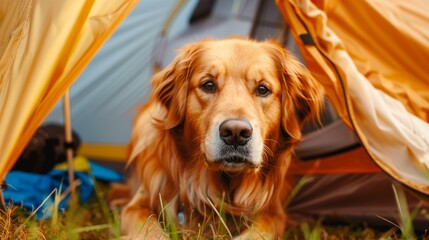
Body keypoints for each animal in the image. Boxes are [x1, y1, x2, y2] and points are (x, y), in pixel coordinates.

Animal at [119, 36, 320, 239]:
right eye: (208, 85)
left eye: (263, 89)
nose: (236, 133)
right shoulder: (136, 206)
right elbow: (149, 230)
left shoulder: (274, 213)